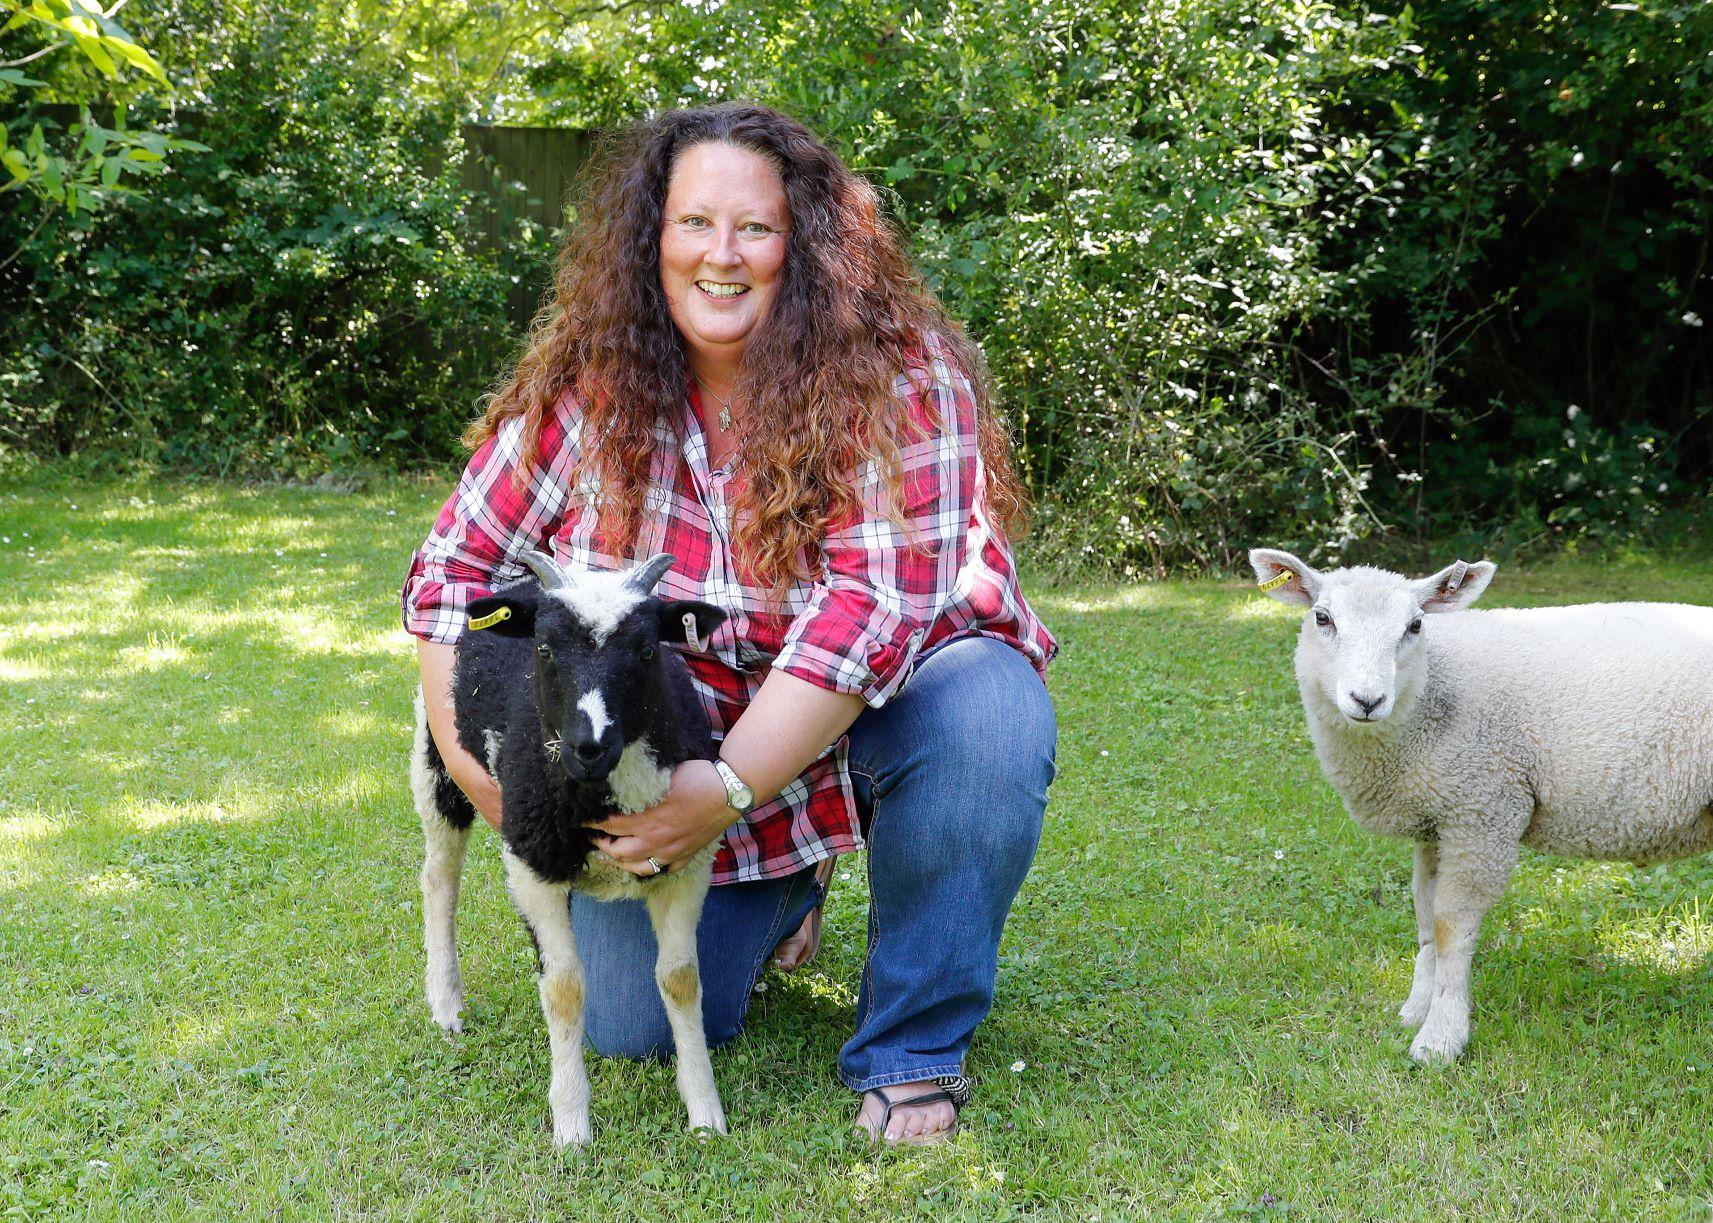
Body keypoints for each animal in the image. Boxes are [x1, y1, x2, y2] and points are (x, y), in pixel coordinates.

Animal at [417, 548, 733, 1137]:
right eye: (543, 648)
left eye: (647, 650)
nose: (589, 746)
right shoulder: (531, 866)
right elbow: (564, 990)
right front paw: (570, 1124)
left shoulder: (688, 863)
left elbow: (681, 979)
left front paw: (705, 1111)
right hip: (436, 763)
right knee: (439, 883)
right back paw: (447, 1004)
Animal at [1247, 548, 1713, 1061]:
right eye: (1322, 618)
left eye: (1415, 625)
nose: (1367, 700)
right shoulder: (1437, 819)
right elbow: (1424, 914)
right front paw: (1414, 1010)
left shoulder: (1484, 809)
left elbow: (1451, 926)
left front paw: (1440, 1038)